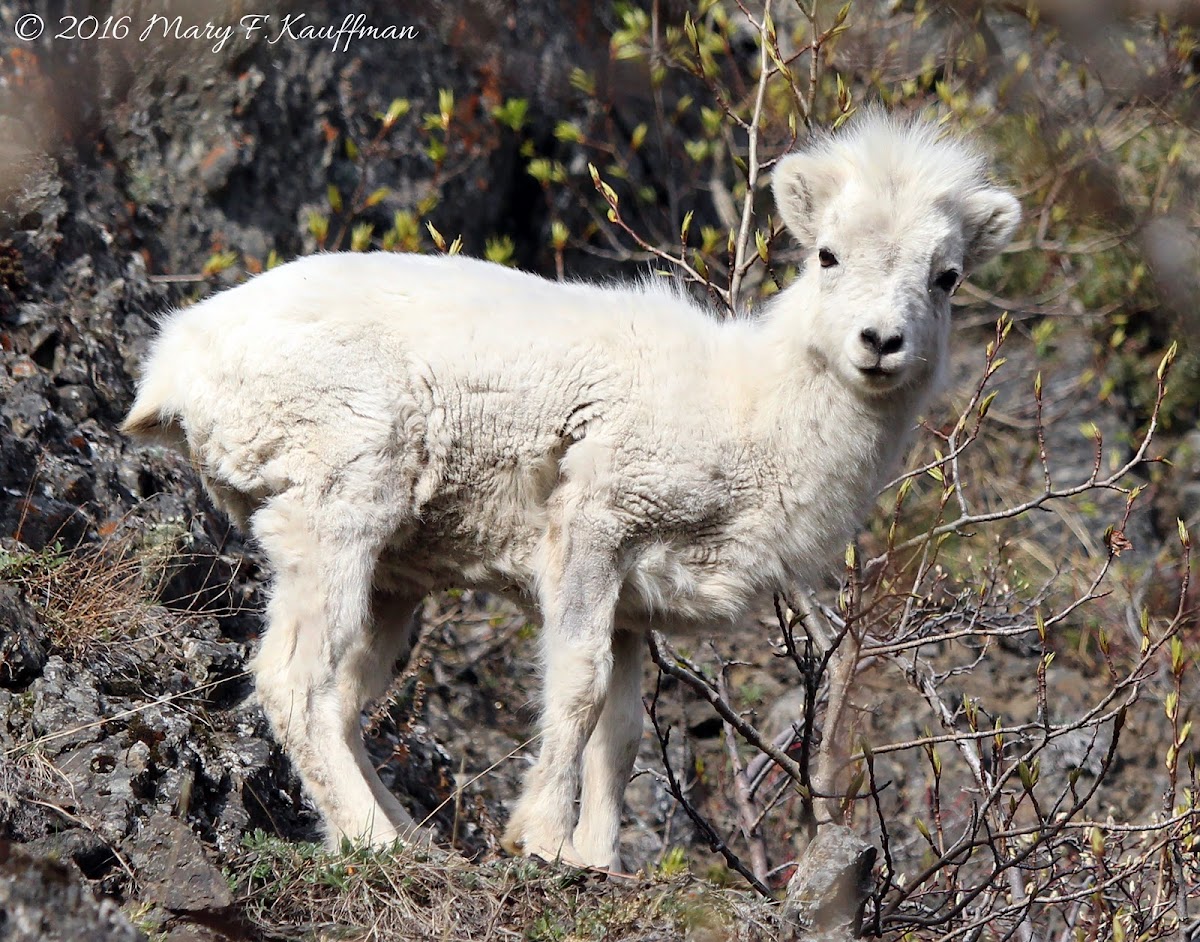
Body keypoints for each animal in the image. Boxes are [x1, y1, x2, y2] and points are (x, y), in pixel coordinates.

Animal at [124, 112, 1022, 873]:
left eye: (946, 276)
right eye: (828, 255)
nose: (880, 343)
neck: (749, 412)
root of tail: (177, 364)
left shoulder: (634, 605)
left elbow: (619, 735)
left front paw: (599, 861)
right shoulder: (594, 531)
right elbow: (577, 686)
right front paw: (543, 841)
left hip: (390, 577)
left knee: (344, 700)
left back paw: (411, 836)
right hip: (336, 506)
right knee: (295, 682)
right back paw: (381, 845)